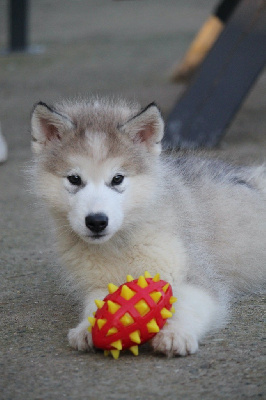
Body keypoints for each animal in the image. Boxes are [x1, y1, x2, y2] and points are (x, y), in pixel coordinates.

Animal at [31, 97, 266, 356]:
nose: (96, 221)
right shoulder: (97, 283)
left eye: (117, 178)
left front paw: (176, 333)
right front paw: (87, 328)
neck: (119, 245)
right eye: (74, 179)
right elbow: (97, 304)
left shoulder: (195, 275)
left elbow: (190, 304)